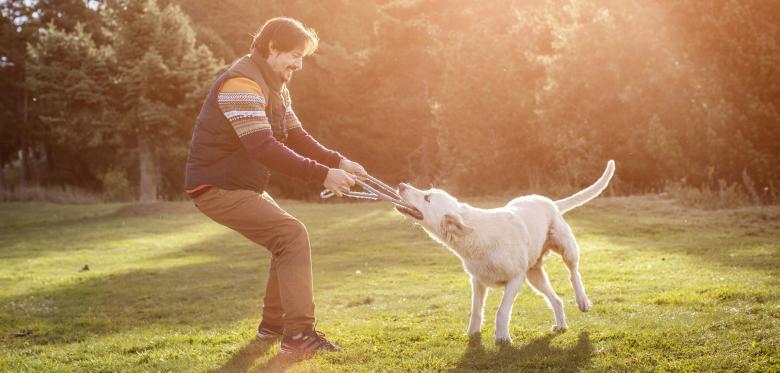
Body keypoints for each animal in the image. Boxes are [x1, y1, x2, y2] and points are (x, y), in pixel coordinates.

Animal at [396, 160, 616, 340]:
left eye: (427, 198)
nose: (400, 185)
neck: (475, 236)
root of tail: (549, 201)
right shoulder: (478, 282)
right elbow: (476, 311)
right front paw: (473, 334)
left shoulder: (515, 280)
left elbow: (501, 311)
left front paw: (502, 338)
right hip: (534, 276)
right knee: (557, 299)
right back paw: (561, 325)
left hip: (565, 248)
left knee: (574, 273)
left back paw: (582, 301)